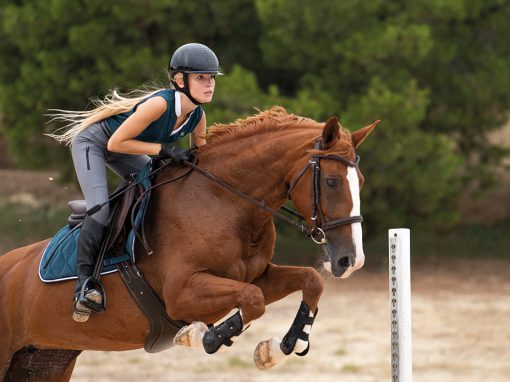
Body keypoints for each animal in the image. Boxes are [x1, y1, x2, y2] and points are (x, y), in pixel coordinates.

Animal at [0, 106, 374, 380]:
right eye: (331, 181)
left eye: (360, 180)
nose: (351, 261)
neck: (225, 200)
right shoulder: (181, 293)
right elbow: (251, 301)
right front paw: (201, 336)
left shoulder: (256, 276)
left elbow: (307, 282)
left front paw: (277, 348)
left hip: (46, 360)